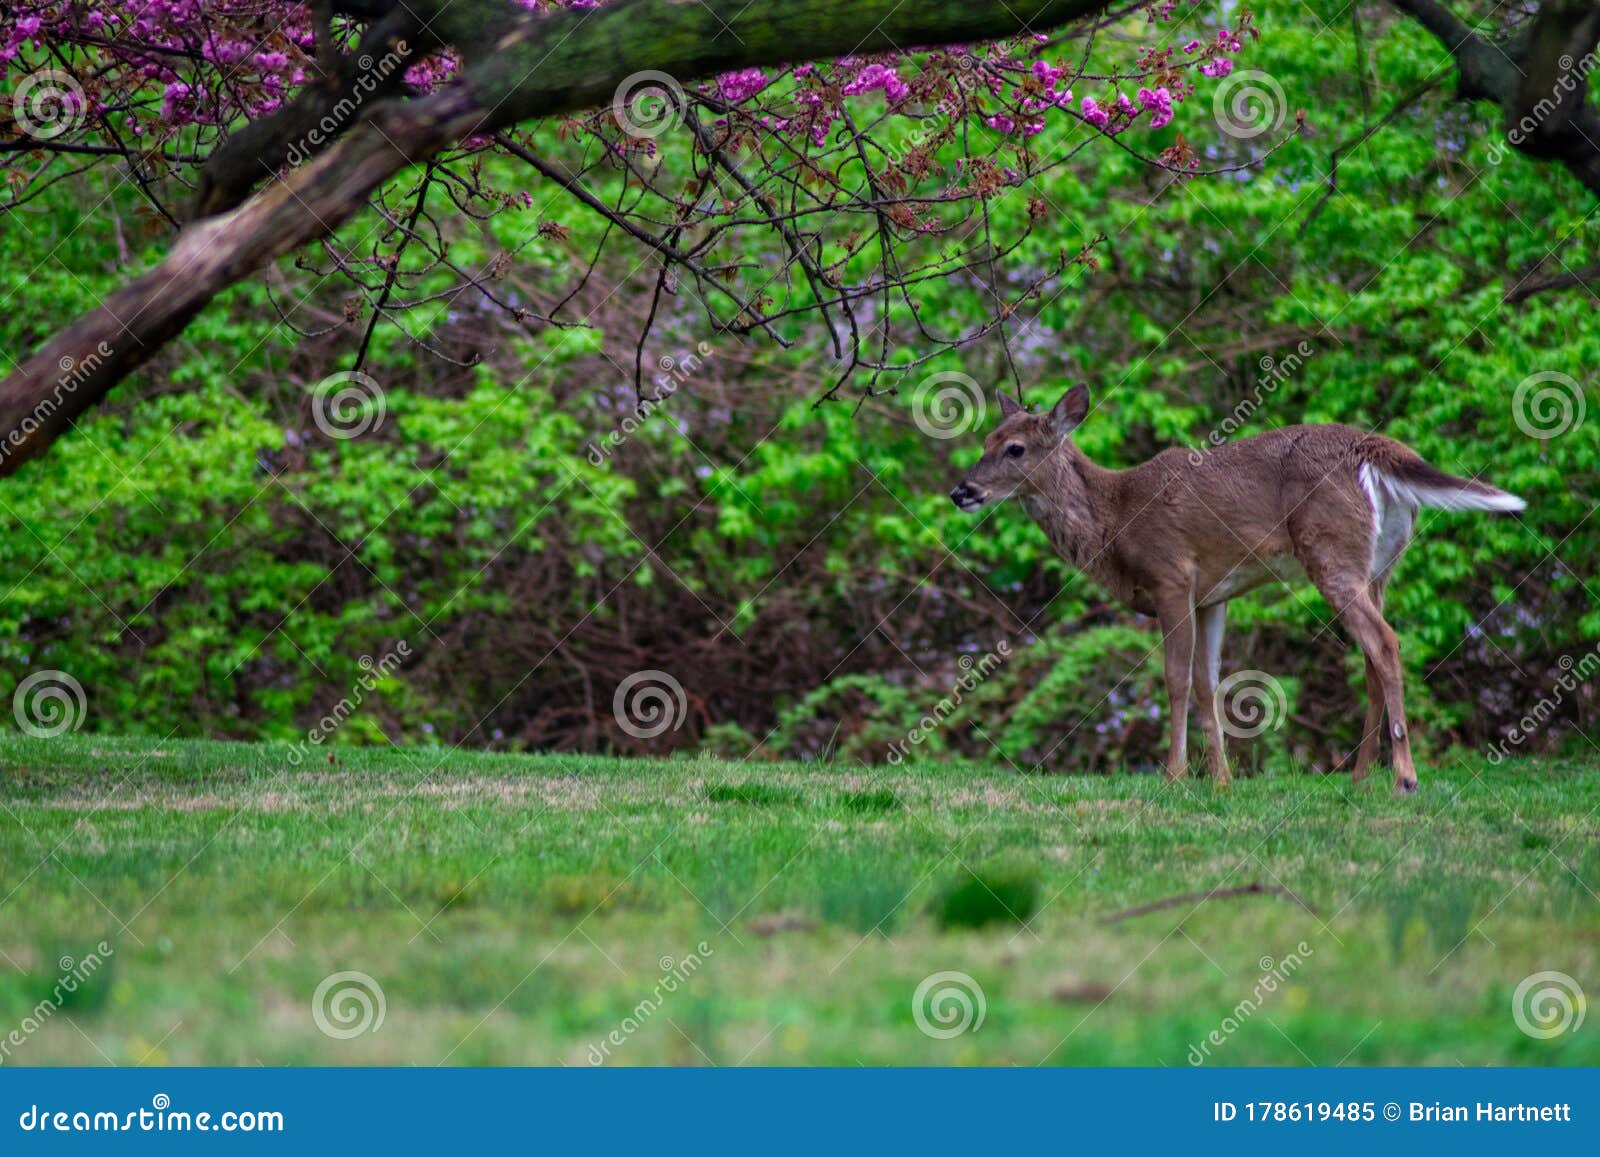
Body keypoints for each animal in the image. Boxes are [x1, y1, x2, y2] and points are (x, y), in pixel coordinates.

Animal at [948, 385, 1526, 795]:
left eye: (1015, 448)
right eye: (984, 442)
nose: (962, 490)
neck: (1117, 521)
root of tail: (1375, 449)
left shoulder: (1171, 575)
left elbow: (1176, 679)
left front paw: (1175, 776)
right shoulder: (1213, 594)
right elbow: (1210, 684)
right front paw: (1221, 781)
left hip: (1332, 552)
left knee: (1385, 642)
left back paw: (1405, 778)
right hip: (1379, 565)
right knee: (1373, 655)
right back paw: (1361, 778)